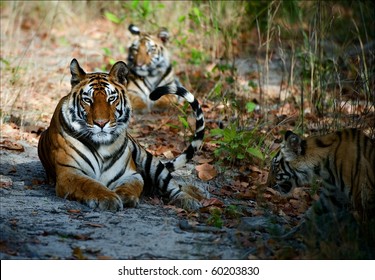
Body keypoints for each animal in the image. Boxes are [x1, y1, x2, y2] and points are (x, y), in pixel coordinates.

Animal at [37, 59, 209, 212]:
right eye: (87, 100)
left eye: (111, 98)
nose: (101, 123)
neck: (102, 147)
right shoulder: (69, 172)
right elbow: (91, 185)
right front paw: (109, 198)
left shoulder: (131, 174)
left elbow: (131, 186)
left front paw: (124, 197)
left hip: (149, 160)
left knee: (173, 186)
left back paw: (192, 199)